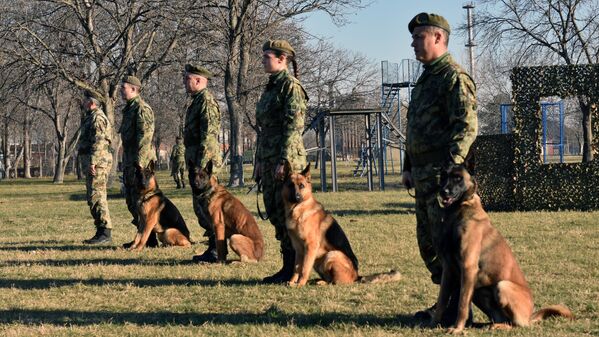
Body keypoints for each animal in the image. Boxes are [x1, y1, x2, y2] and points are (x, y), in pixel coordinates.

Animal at [434, 163, 576, 334]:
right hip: (479, 290)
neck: (458, 212)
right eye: (443, 176)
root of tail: (530, 315)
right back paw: (494, 325)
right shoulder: (448, 269)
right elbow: (441, 300)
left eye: (458, 178)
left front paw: (457, 329)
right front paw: (433, 323)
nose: (443, 191)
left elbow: (462, 305)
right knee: (503, 319)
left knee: (519, 324)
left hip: (502, 285)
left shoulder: (468, 268)